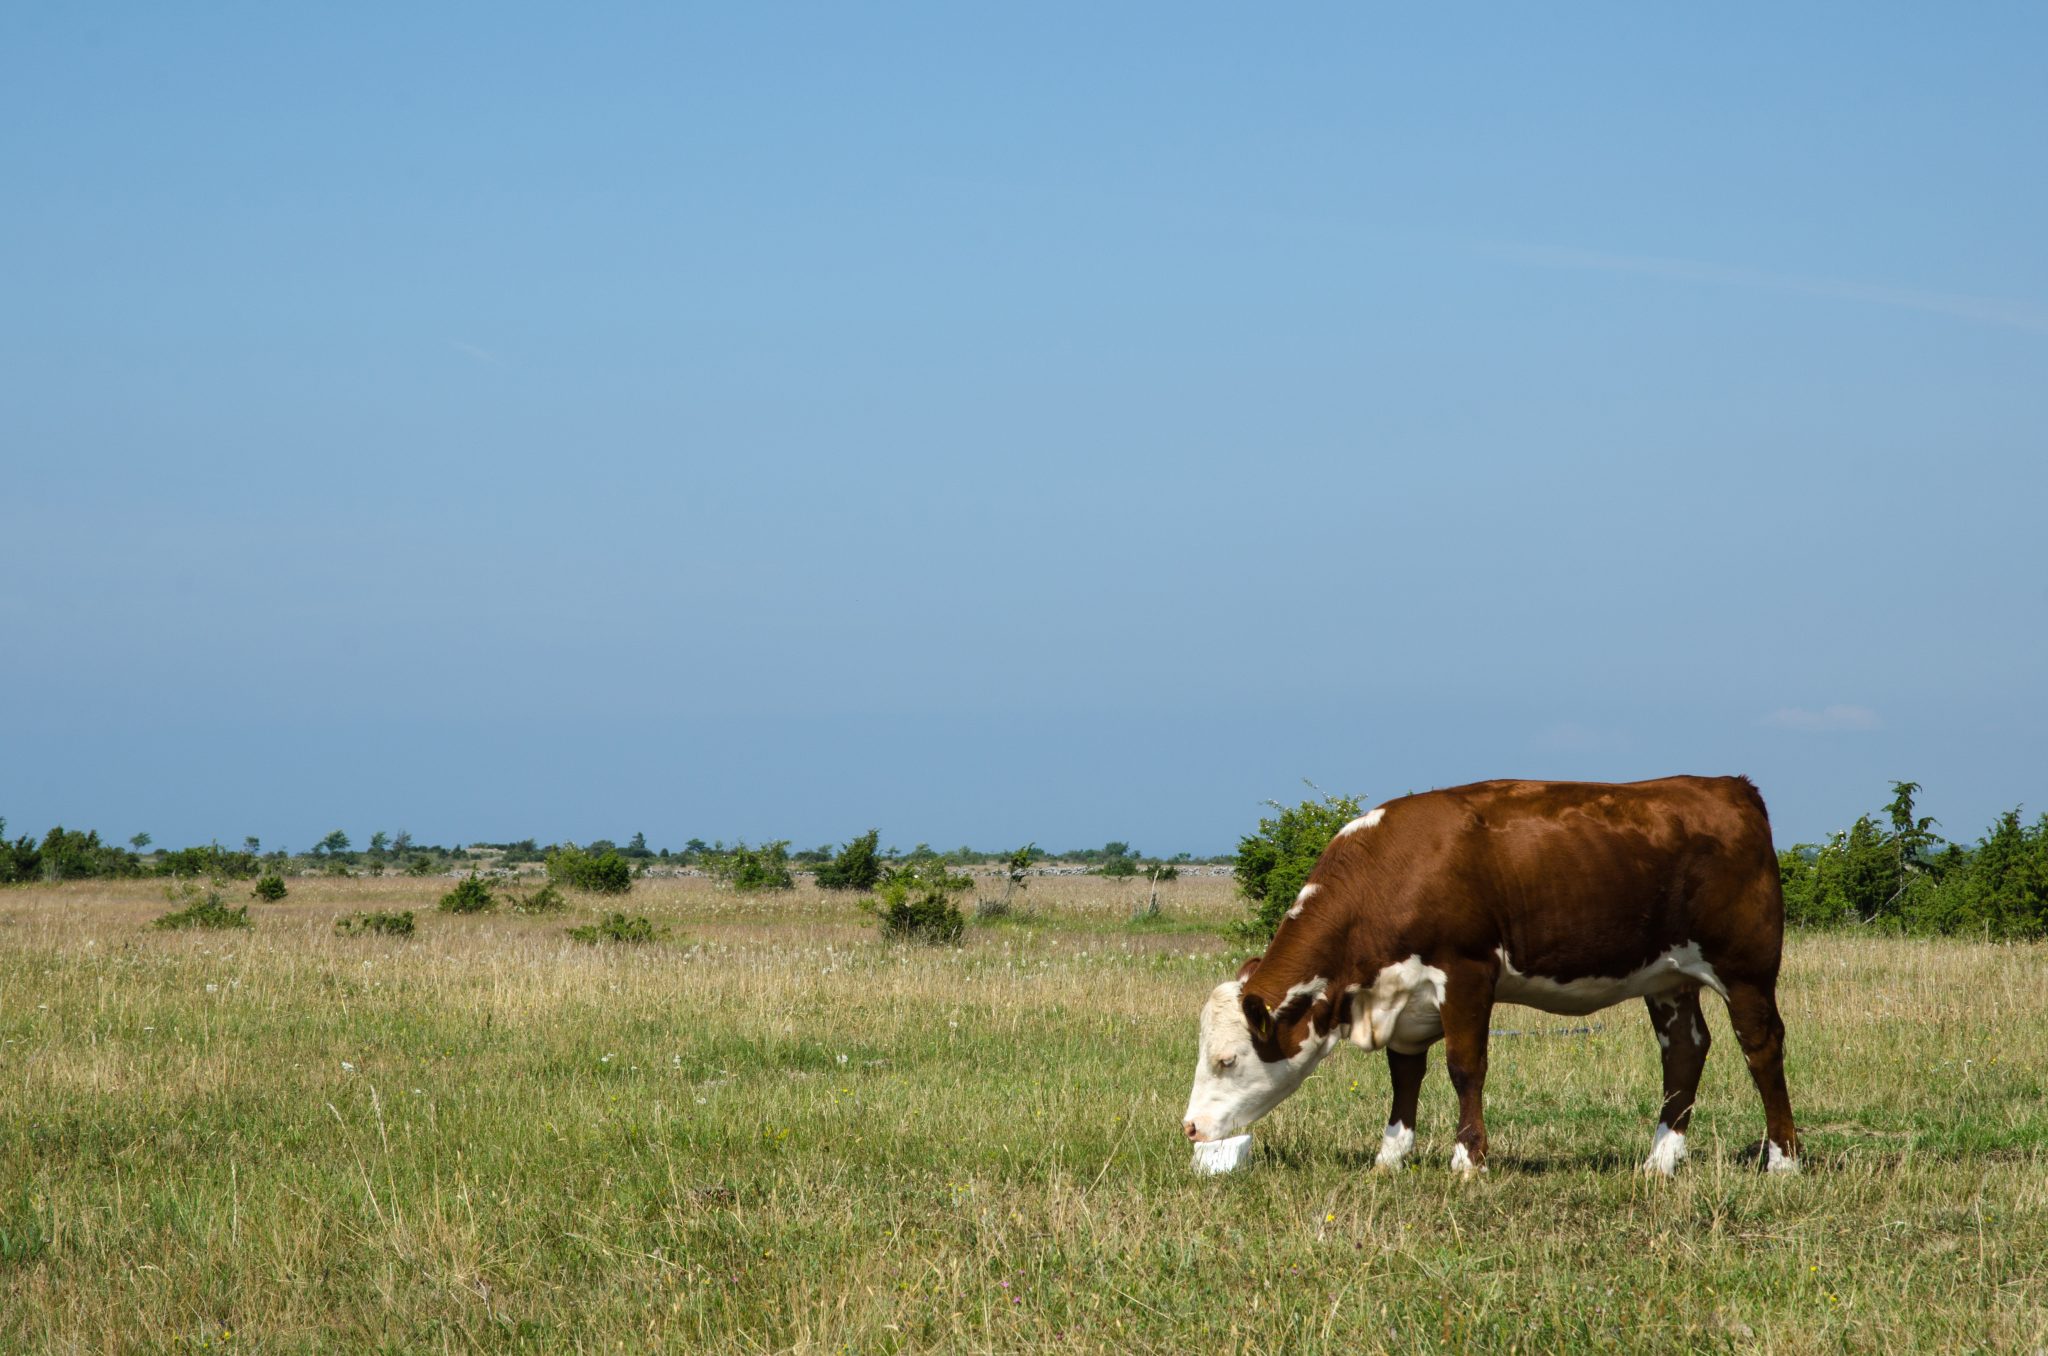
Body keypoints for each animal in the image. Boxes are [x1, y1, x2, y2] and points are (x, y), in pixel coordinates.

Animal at [1182, 776, 1799, 1176]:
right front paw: (1389, 1157)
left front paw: (1468, 1160)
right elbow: (1404, 1078)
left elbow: (1464, 1067)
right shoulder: (1400, 998)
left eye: (1227, 1059)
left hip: (1746, 967)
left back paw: (1783, 1160)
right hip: (1669, 978)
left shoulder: (1466, 972)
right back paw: (1659, 1160)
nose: (1190, 1128)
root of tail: (1729, 786)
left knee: (1761, 1047)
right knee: (1686, 1050)